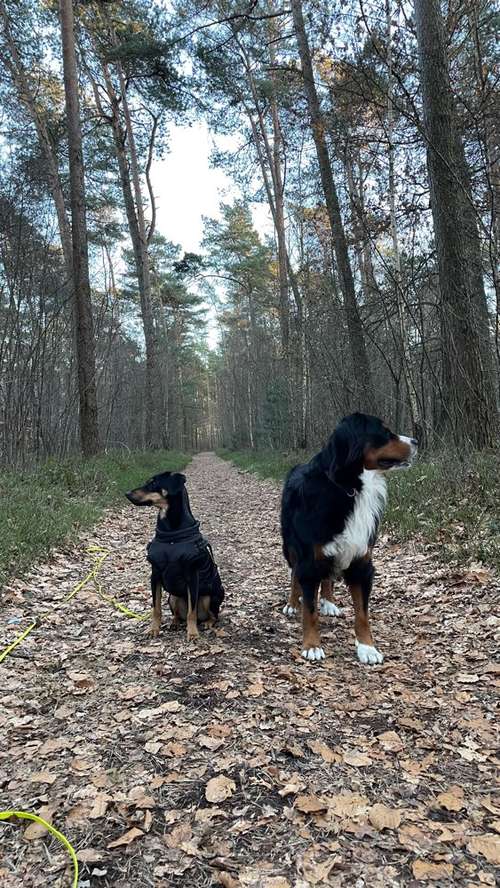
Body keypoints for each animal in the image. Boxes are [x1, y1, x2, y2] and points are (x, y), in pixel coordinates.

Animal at [125, 472, 225, 640]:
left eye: (153, 483)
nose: (127, 493)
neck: (171, 536)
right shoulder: (155, 574)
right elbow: (156, 608)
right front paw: (153, 629)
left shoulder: (192, 576)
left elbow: (191, 611)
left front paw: (192, 633)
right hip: (173, 597)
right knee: (178, 614)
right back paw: (174, 622)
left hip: (209, 598)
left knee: (212, 615)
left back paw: (207, 623)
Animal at [282, 416, 418, 664]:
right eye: (384, 432)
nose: (416, 441)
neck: (350, 488)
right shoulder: (309, 558)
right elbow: (309, 610)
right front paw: (312, 645)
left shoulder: (361, 561)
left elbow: (362, 613)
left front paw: (367, 648)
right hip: (290, 547)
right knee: (295, 573)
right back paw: (292, 603)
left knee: (327, 579)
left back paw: (329, 602)